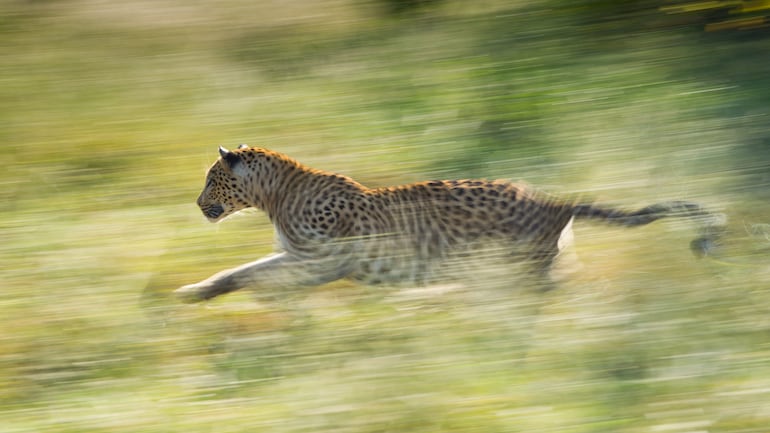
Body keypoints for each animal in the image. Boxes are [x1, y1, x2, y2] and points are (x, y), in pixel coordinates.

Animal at [172, 143, 720, 302]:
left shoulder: (323, 261)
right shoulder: (298, 256)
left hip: (516, 270)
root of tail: (551, 200)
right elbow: (244, 269)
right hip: (531, 265)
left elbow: (256, 274)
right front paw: (200, 291)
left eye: (211, 179)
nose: (197, 204)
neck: (276, 194)